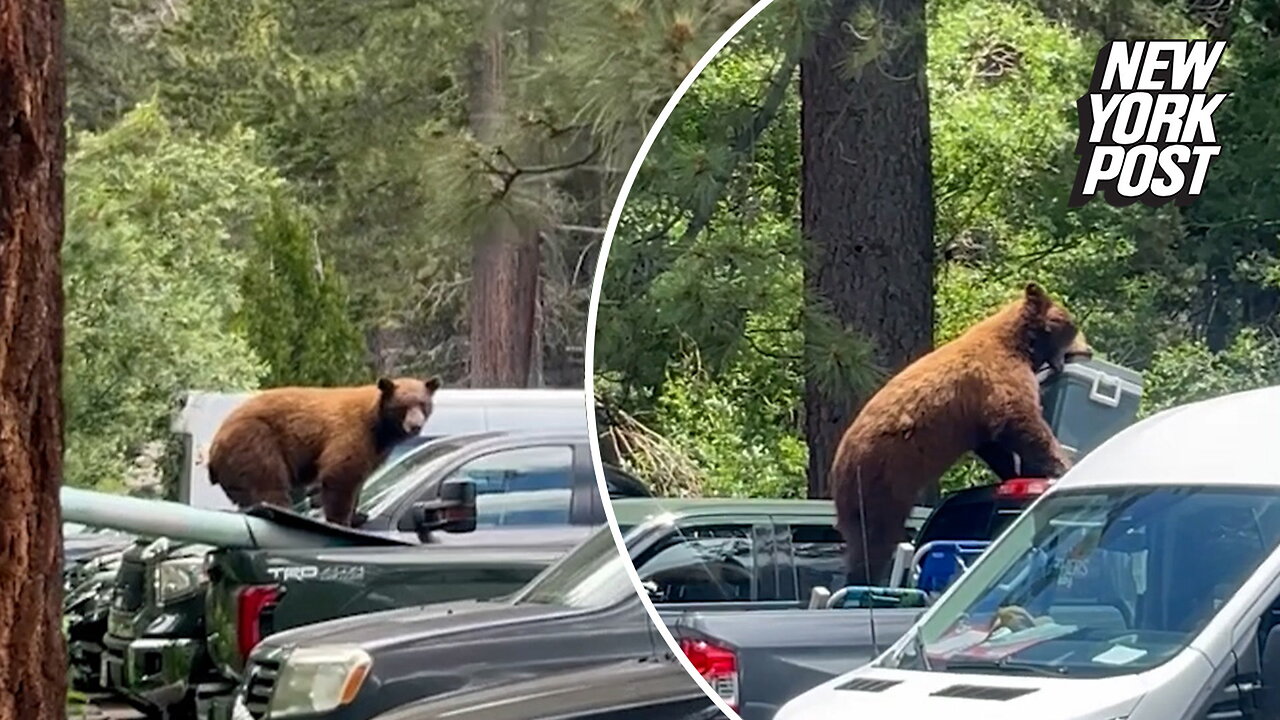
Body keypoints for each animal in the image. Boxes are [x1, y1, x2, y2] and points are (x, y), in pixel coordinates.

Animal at [208, 379, 440, 525]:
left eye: (423, 404)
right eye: (403, 406)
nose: (415, 426)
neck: (379, 426)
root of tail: (213, 452)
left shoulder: (376, 449)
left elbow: (360, 478)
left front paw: (358, 514)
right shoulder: (352, 433)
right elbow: (341, 474)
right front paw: (341, 519)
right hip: (255, 442)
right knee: (268, 484)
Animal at [829, 280, 1090, 584]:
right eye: (1072, 325)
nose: (1088, 350)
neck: (1019, 344)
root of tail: (837, 471)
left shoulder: (975, 418)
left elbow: (993, 444)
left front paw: (1017, 472)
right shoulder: (998, 377)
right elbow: (1019, 421)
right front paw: (1061, 465)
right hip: (881, 482)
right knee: (875, 539)